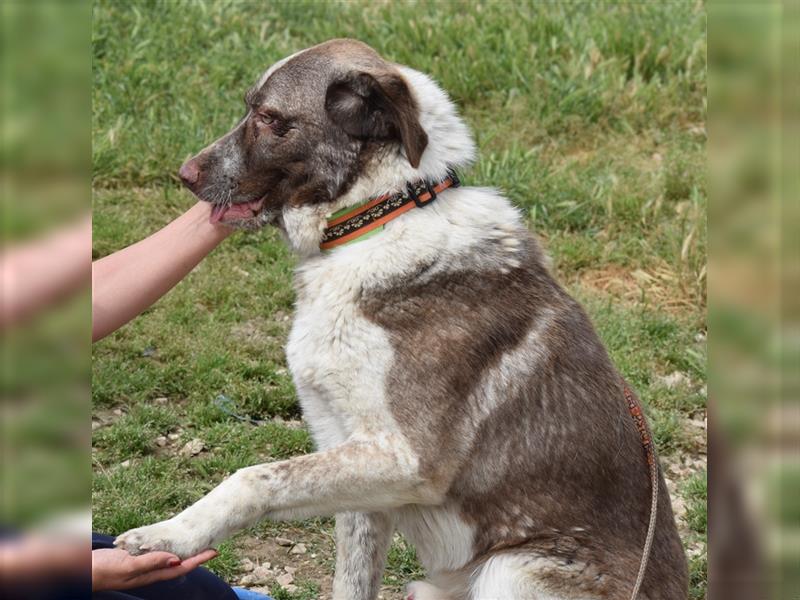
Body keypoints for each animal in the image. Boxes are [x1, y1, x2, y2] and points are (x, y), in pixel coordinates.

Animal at [115, 38, 692, 600]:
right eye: (247, 109)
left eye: (272, 119)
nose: (185, 175)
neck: (379, 215)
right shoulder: (355, 464)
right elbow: (349, 580)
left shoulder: (406, 458)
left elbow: (252, 478)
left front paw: (170, 534)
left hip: (509, 570)